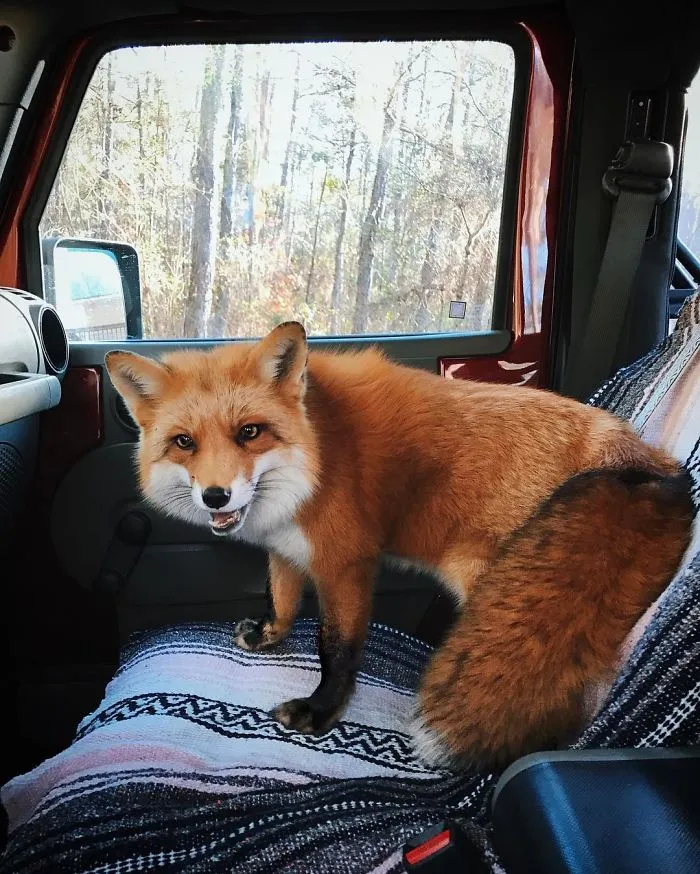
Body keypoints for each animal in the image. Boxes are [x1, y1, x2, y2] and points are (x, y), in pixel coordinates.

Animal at [105, 321, 694, 769]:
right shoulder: (287, 546)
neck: (316, 453)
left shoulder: (346, 562)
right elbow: (283, 596)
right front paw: (271, 634)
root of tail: (647, 461)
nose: (216, 495)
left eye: (249, 432)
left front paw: (322, 712)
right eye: (184, 443)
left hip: (488, 583)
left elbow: (337, 649)